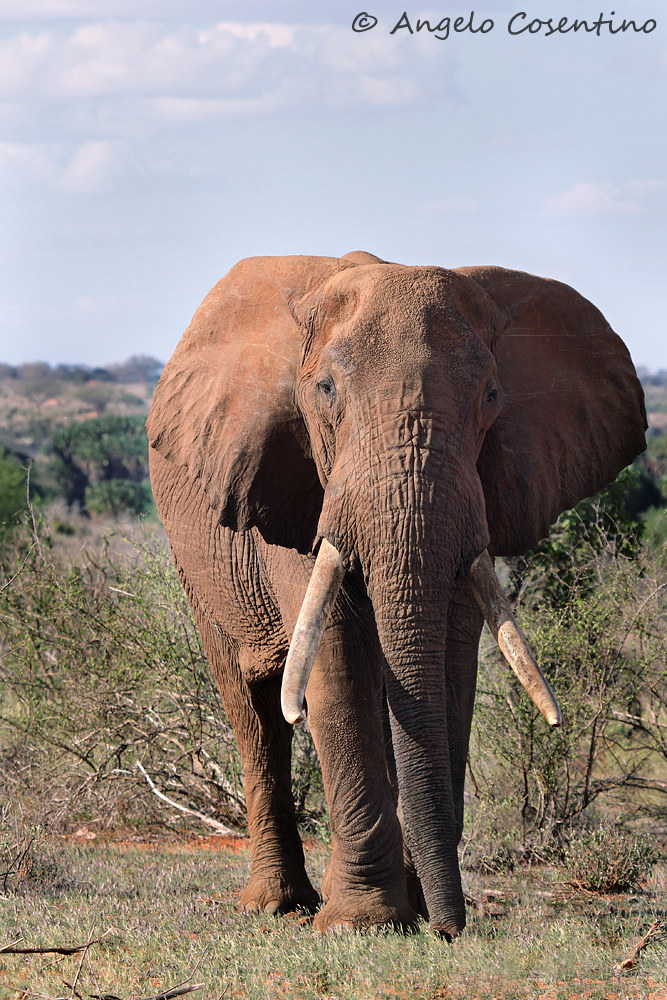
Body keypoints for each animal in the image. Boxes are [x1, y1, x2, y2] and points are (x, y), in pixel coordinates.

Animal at [146, 250, 647, 939]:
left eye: (492, 396)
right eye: (326, 391)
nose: (451, 928)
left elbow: (451, 661)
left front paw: (406, 912)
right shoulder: (301, 483)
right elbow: (334, 664)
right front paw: (362, 923)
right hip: (198, 563)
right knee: (253, 708)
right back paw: (278, 907)